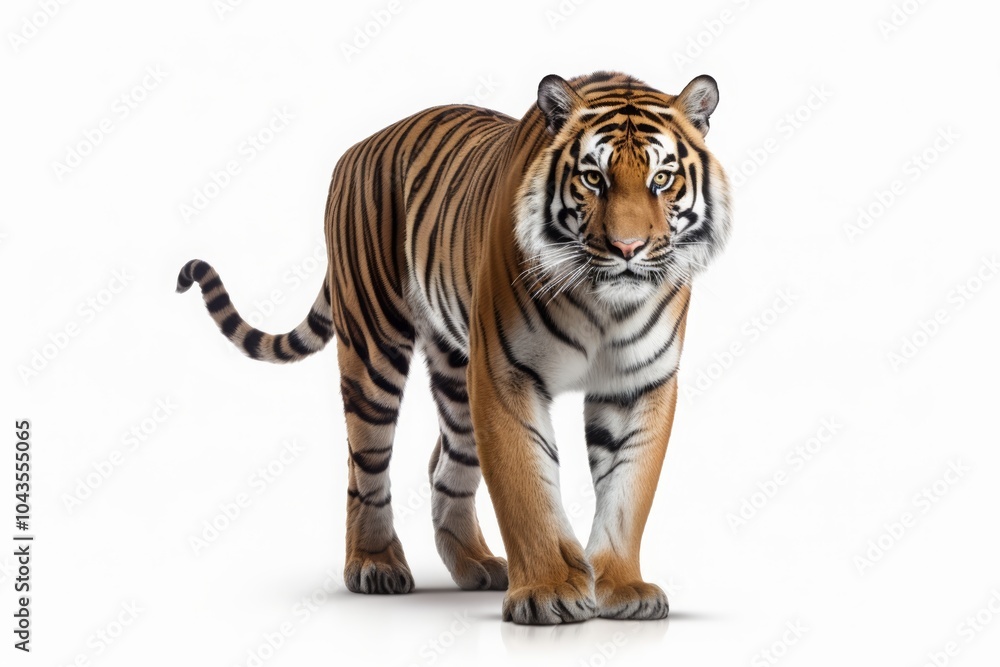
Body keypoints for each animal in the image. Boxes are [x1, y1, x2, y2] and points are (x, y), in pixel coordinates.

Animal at [177, 71, 732, 624]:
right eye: (594, 178)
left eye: (662, 179)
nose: (627, 249)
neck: (604, 306)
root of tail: (356, 149)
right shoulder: (505, 374)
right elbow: (526, 484)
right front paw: (549, 591)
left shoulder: (639, 384)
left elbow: (627, 492)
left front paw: (621, 588)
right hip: (374, 348)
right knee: (365, 462)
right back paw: (375, 564)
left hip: (456, 368)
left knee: (445, 465)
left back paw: (476, 564)